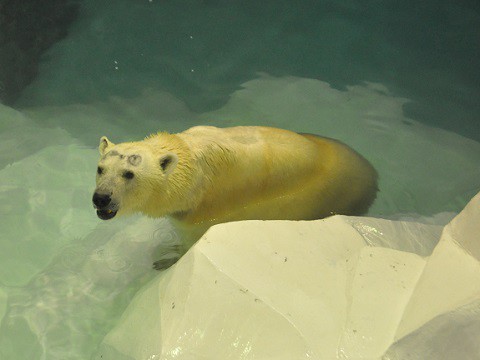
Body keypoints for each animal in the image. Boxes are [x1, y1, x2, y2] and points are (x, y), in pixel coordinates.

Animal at [93, 126, 378, 268]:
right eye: (100, 168)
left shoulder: (206, 210)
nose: (101, 198)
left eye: (129, 174)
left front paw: (168, 257)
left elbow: (189, 243)